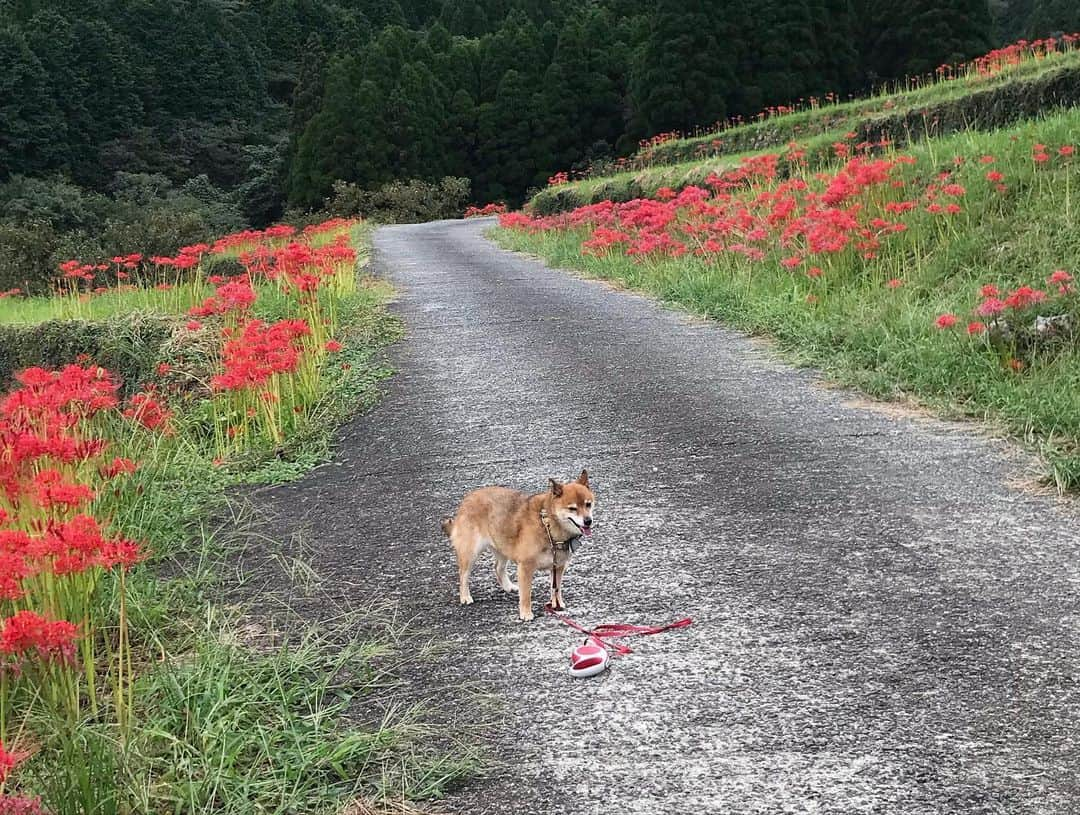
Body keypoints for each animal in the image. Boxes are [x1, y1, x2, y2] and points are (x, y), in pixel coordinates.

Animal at [440, 468, 600, 621]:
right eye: (572, 508)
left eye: (588, 504)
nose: (588, 521)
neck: (548, 525)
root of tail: (467, 499)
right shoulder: (526, 567)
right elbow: (526, 594)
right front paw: (526, 613)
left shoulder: (558, 566)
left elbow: (556, 588)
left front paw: (557, 604)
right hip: (471, 552)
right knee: (463, 575)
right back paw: (465, 596)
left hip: (502, 545)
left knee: (498, 568)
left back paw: (509, 587)